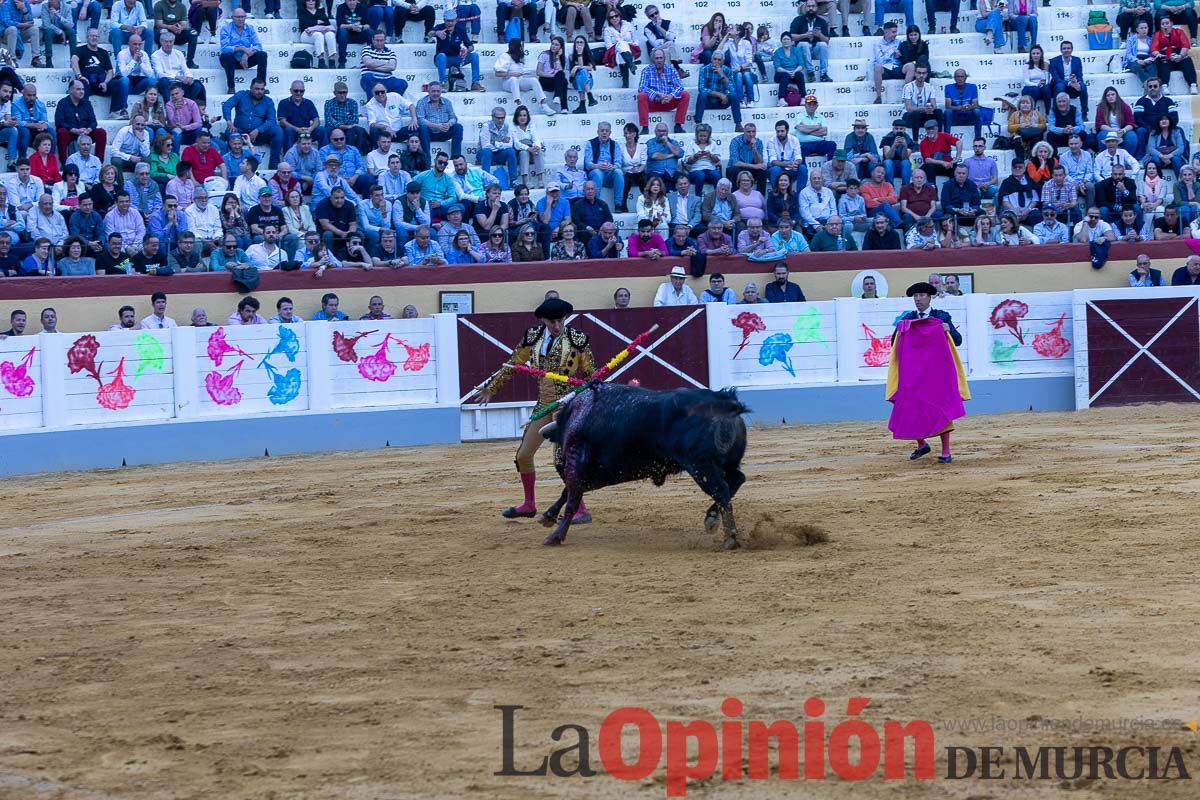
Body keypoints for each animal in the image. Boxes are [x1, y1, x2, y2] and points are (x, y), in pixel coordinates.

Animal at [537, 383, 744, 546]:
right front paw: (548, 516)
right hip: (723, 465)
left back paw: (730, 537)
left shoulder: (578, 466)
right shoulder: (594, 474)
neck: (576, 415)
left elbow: (571, 499)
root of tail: (725, 403)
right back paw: (712, 519)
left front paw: (555, 536)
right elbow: (567, 493)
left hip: (701, 467)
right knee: (736, 480)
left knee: (721, 491)